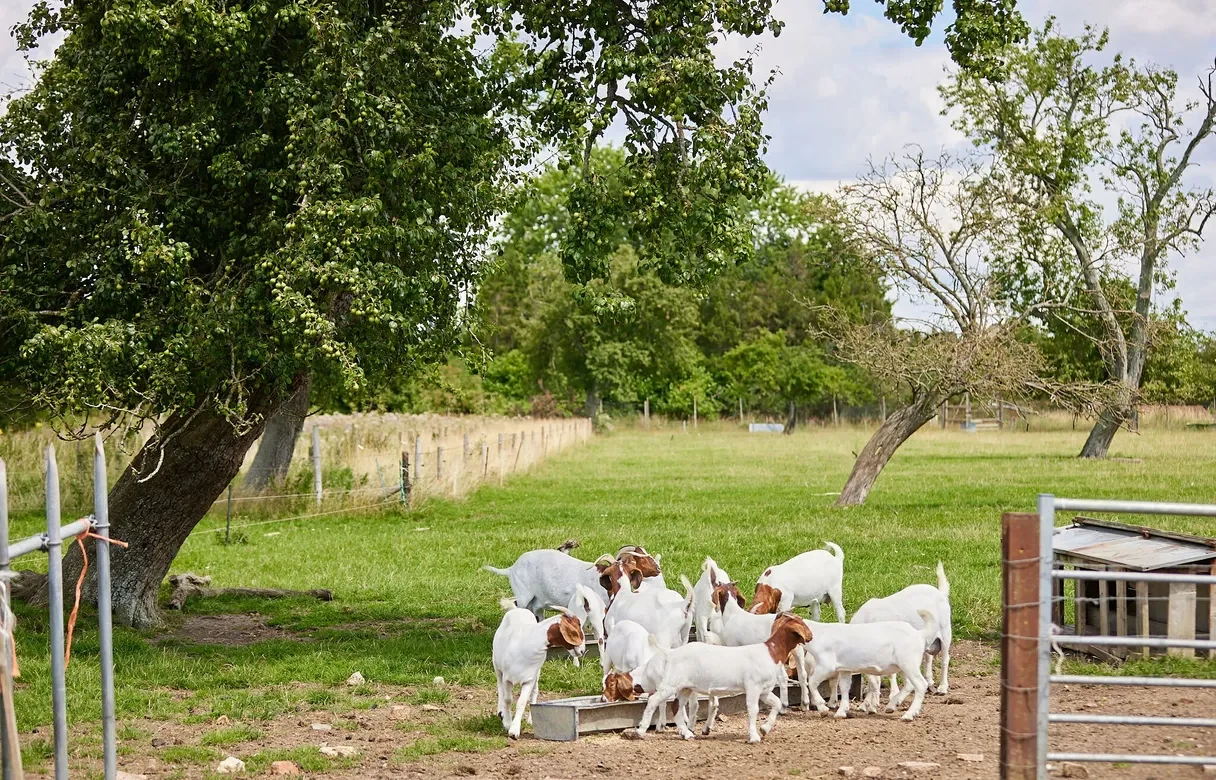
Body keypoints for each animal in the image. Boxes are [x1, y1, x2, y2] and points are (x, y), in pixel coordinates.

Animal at [491, 599, 585, 738]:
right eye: (577, 628)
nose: (582, 650)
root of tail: (517, 609)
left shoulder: (529, 679)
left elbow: (521, 702)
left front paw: (514, 730)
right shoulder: (507, 678)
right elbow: (508, 699)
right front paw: (507, 723)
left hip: (537, 673)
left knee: (535, 691)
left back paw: (531, 718)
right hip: (496, 665)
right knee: (499, 687)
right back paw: (500, 711)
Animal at [633, 613, 813, 743]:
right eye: (802, 624)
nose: (811, 636)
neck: (771, 652)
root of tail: (671, 653)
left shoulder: (764, 690)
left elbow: (776, 703)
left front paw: (765, 728)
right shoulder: (753, 687)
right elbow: (753, 709)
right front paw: (754, 736)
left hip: (685, 687)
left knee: (676, 706)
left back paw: (687, 734)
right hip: (671, 684)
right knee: (654, 700)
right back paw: (641, 730)